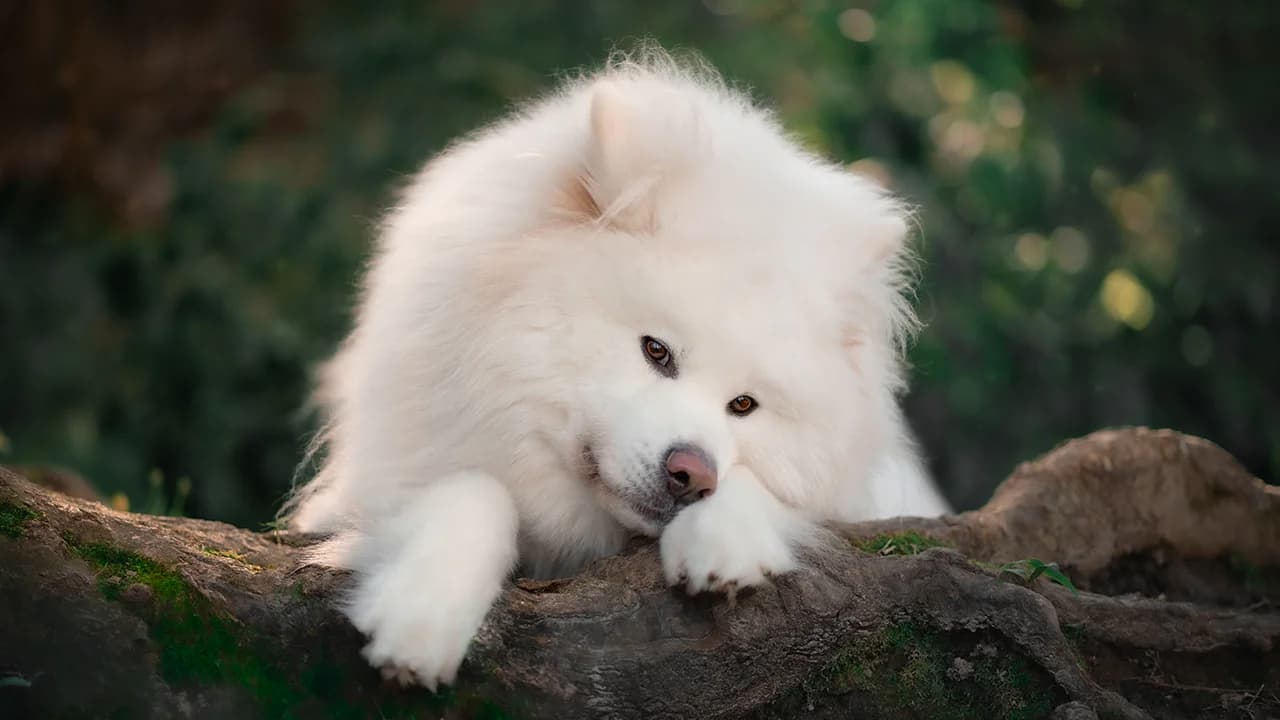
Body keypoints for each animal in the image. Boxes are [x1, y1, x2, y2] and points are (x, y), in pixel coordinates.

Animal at [290, 47, 952, 686]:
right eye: (656, 351)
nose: (691, 475)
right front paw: (421, 614)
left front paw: (725, 538)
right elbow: (473, 488)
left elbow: (764, 488)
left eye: (743, 405)